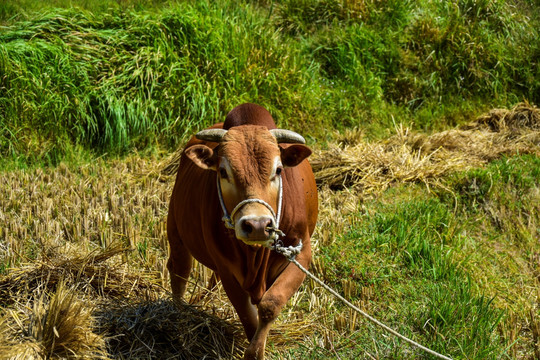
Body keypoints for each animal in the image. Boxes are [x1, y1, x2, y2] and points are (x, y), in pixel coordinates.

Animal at [167, 102, 318, 358]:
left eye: (278, 170)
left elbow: (270, 304)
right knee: (179, 272)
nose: (257, 225)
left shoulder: (301, 253)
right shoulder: (226, 269)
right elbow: (247, 316)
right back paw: (178, 318)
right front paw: (253, 351)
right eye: (223, 171)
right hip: (175, 233)